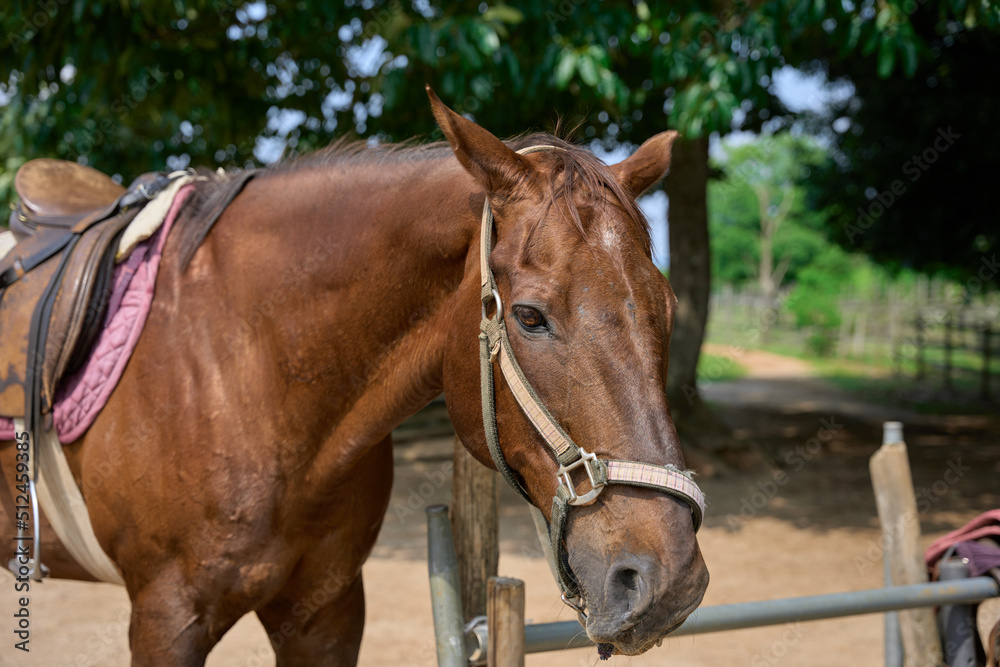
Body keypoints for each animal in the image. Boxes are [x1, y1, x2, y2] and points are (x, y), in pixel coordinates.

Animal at [0, 87, 708, 664]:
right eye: (530, 317)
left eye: (667, 308)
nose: (669, 580)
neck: (248, 368)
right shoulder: (165, 619)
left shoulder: (327, 613)